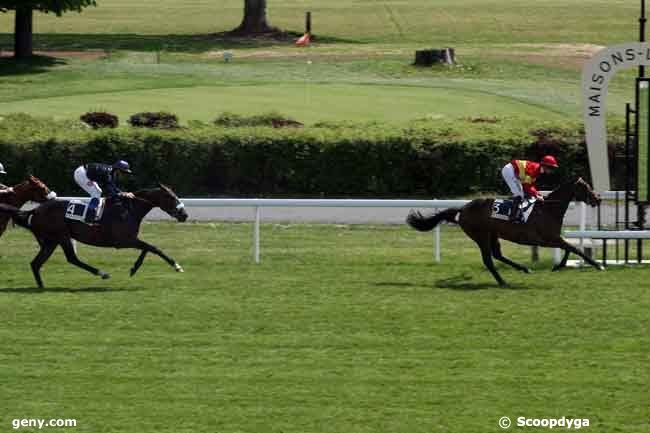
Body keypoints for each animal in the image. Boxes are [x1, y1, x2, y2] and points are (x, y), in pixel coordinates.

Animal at [0, 183, 187, 286]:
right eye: (171, 197)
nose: (184, 215)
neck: (129, 209)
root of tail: (35, 210)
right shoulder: (124, 240)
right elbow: (153, 248)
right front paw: (176, 266)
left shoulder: (130, 240)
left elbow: (147, 248)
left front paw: (134, 268)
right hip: (62, 236)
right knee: (71, 259)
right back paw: (102, 273)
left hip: (51, 241)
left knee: (36, 263)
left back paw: (41, 286)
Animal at [408, 177, 600, 286]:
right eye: (586, 187)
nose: (598, 199)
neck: (548, 209)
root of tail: (462, 209)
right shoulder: (547, 239)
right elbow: (573, 248)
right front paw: (597, 264)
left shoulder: (553, 238)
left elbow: (569, 248)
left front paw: (559, 265)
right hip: (481, 236)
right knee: (488, 260)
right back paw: (502, 281)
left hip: (493, 235)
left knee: (497, 255)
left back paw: (523, 268)